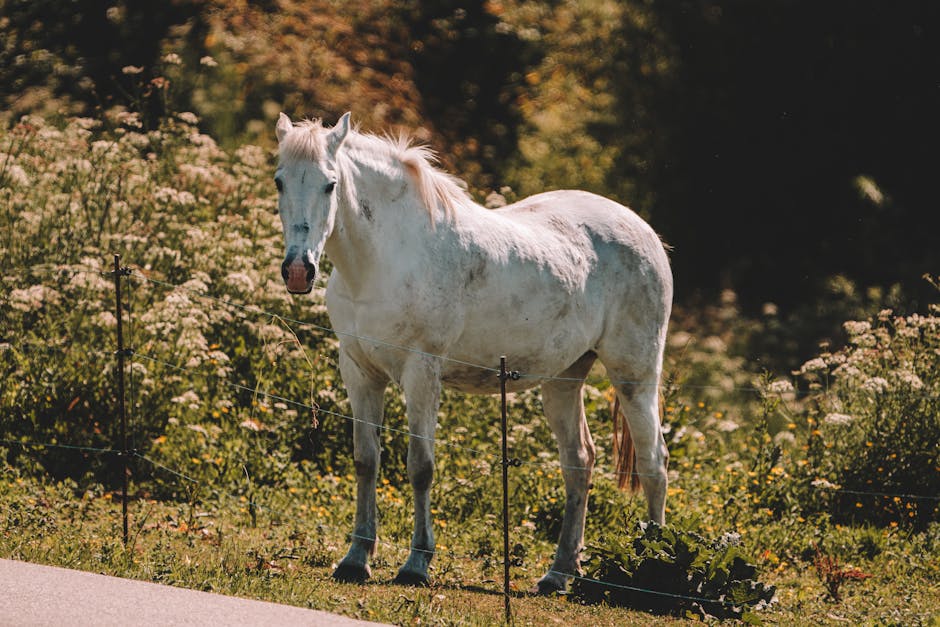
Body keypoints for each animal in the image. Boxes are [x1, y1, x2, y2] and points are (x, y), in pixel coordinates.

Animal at [276, 114, 672, 592]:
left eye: (330, 184)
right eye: (279, 181)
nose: (299, 270)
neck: (386, 259)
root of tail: (644, 231)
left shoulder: (421, 372)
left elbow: (420, 466)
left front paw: (416, 564)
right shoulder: (360, 372)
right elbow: (366, 461)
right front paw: (355, 560)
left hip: (634, 375)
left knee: (653, 462)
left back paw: (652, 571)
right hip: (564, 380)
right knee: (579, 462)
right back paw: (559, 573)